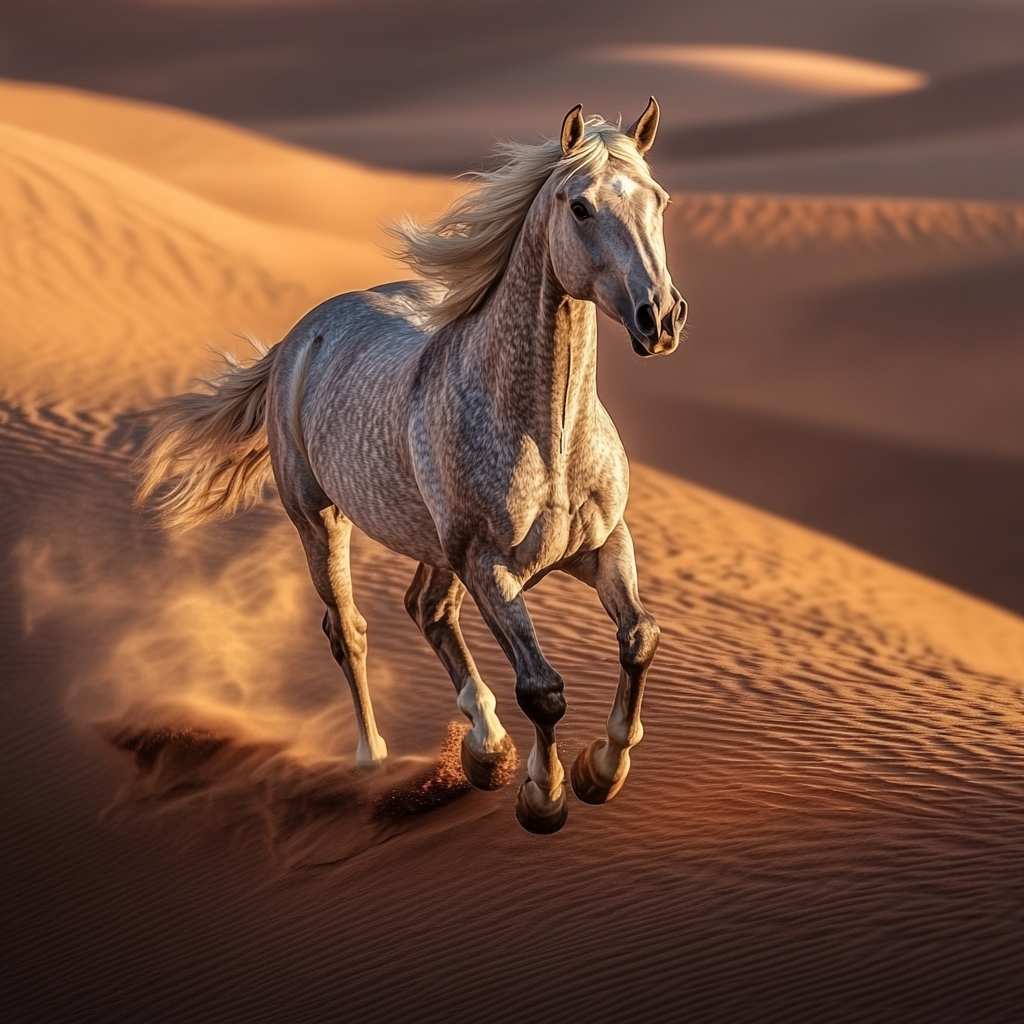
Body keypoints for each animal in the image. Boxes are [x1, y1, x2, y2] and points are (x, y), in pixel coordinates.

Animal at [134, 97, 679, 831]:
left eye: (659, 199)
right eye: (581, 207)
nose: (661, 317)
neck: (550, 439)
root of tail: (300, 336)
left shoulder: (602, 544)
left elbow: (639, 637)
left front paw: (603, 768)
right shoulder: (490, 568)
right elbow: (541, 689)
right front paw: (544, 796)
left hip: (433, 545)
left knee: (428, 610)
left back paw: (485, 749)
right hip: (321, 521)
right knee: (350, 629)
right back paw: (377, 758)